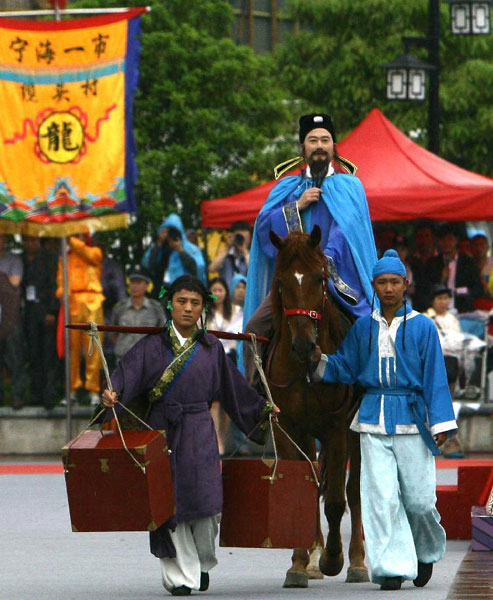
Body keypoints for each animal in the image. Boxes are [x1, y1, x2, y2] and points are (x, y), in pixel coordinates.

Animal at [268, 225, 368, 584]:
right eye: (281, 282)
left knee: (354, 490)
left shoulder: (336, 428)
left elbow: (337, 500)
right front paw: (300, 562)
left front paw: (333, 559)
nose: (303, 346)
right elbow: (300, 489)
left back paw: (357, 561)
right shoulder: (287, 428)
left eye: (318, 278)